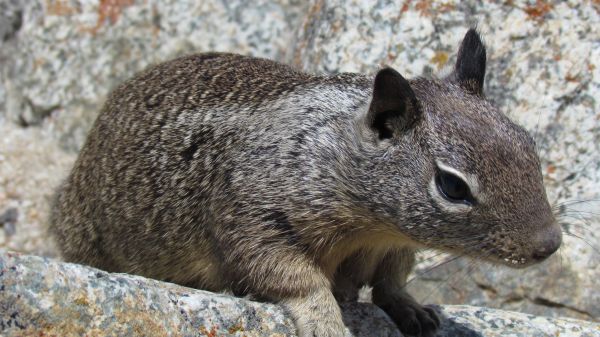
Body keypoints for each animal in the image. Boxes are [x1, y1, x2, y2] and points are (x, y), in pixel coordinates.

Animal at [50, 29, 564, 336]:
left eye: (529, 145)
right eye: (453, 186)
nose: (550, 245)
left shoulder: (397, 244)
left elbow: (392, 281)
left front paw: (414, 308)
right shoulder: (256, 218)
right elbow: (296, 280)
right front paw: (326, 321)